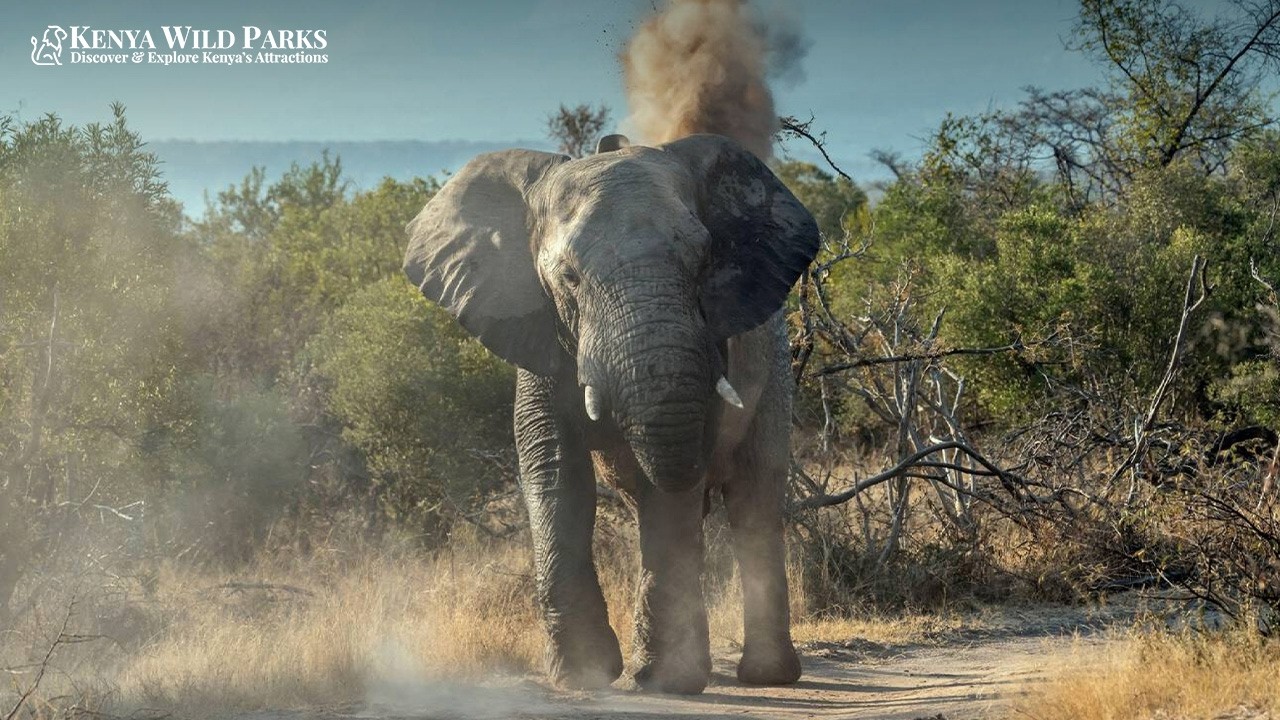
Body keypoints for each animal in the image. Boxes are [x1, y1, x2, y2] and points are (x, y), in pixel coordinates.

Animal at [403, 132, 820, 694]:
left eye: (704, 260)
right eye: (569, 278)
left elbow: (673, 485)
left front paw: (668, 680)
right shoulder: (539, 332)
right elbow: (554, 467)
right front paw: (582, 674)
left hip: (775, 368)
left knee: (755, 495)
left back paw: (765, 676)